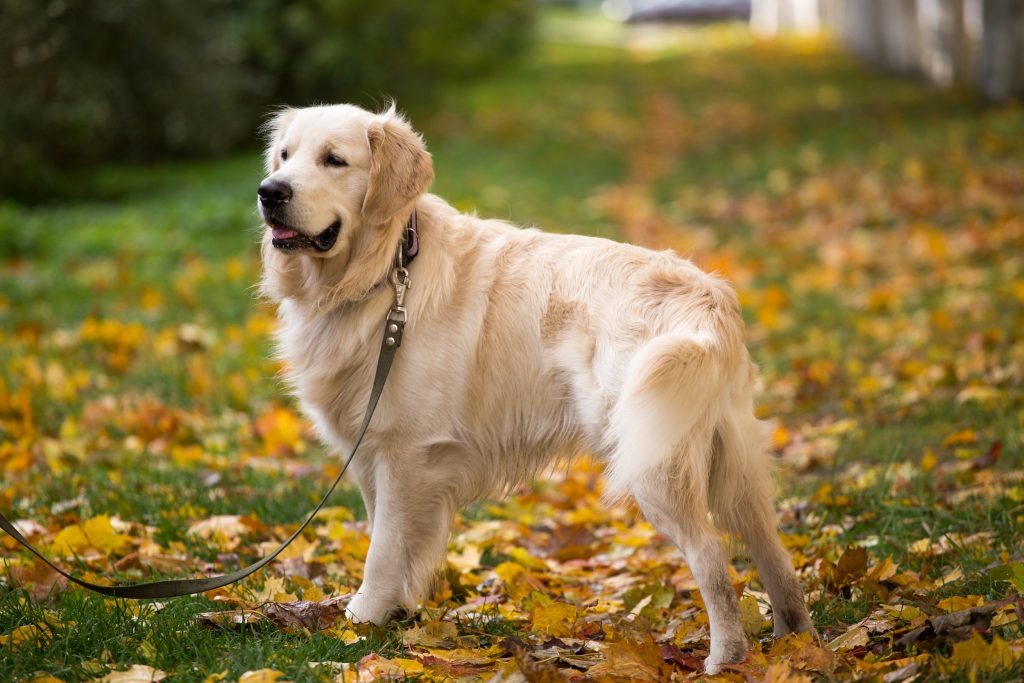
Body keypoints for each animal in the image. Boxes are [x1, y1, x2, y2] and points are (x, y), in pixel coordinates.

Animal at [258, 102, 815, 671]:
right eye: (284, 155)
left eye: (334, 160)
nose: (269, 191)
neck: (388, 270)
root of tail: (708, 299)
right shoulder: (373, 454)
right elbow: (391, 540)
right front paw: (399, 612)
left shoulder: (405, 453)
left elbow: (384, 547)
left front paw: (362, 620)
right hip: (731, 462)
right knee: (773, 552)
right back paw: (796, 644)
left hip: (655, 461)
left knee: (711, 558)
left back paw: (727, 659)